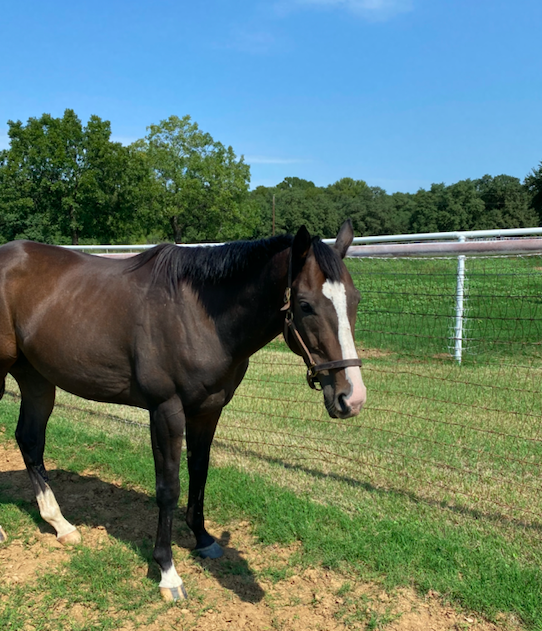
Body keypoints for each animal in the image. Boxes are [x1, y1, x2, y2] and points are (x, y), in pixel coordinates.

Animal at [0, 222, 368, 604]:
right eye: (306, 305)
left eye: (355, 300)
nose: (352, 398)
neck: (197, 316)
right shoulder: (166, 411)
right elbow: (168, 487)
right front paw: (167, 571)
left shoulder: (207, 411)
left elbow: (199, 472)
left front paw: (203, 539)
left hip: (37, 379)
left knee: (29, 441)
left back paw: (60, 524)